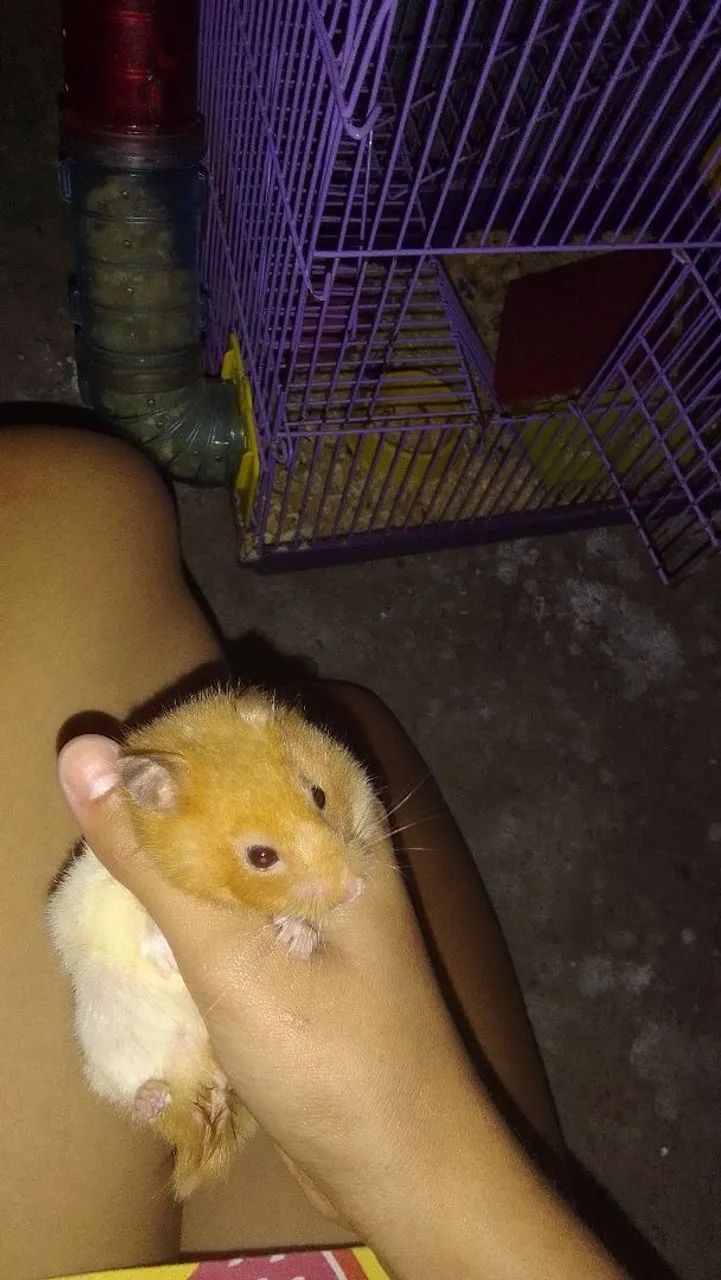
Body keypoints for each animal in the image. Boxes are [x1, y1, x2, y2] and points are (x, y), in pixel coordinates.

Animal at [47, 688, 386, 1198]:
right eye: (261, 856)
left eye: (320, 795)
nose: (355, 889)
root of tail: (196, 1080)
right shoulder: (85, 896)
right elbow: (132, 919)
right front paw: (166, 950)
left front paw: (296, 937)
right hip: (105, 1045)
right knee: (140, 1098)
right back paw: (152, 1097)